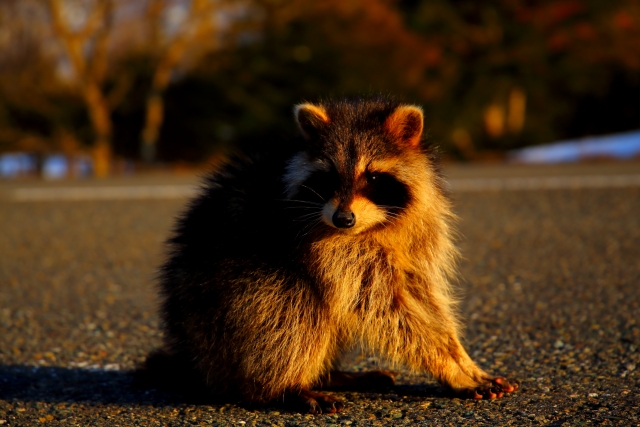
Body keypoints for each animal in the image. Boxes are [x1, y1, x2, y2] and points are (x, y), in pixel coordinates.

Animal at [144, 98, 516, 414]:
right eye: (329, 177)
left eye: (373, 176)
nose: (342, 219)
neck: (373, 226)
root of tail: (198, 361)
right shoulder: (324, 247)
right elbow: (381, 308)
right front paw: (446, 365)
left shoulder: (418, 235)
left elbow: (425, 298)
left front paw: (460, 356)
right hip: (223, 304)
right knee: (290, 308)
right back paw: (280, 388)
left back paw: (330, 375)